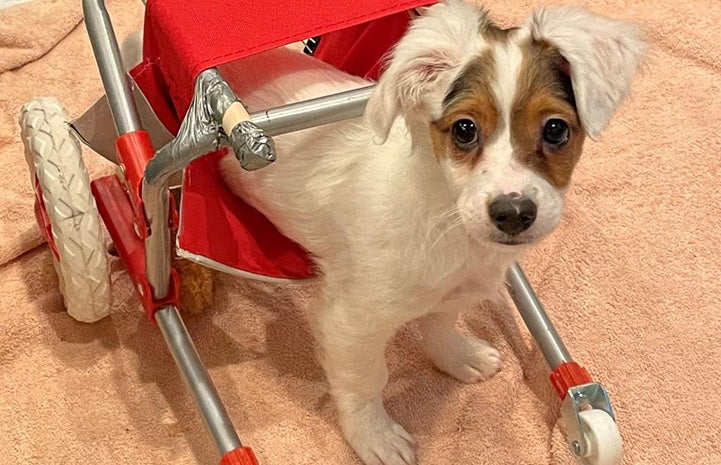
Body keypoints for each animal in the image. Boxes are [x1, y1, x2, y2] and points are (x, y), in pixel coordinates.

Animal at [221, 1, 648, 462]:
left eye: (556, 129)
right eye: (464, 129)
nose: (513, 213)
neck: (448, 221)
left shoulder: (456, 288)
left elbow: (441, 324)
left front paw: (456, 357)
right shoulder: (352, 318)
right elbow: (365, 379)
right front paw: (375, 436)